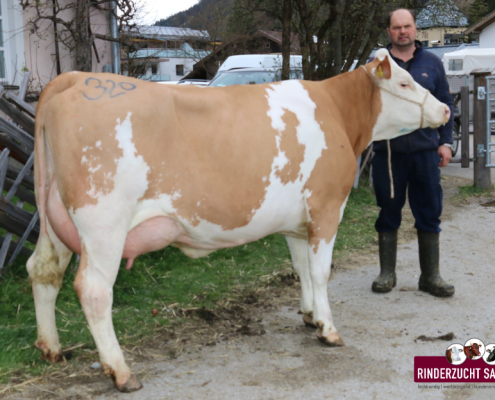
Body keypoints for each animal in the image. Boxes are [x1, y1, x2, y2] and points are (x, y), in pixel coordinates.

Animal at [27, 48, 452, 392]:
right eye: (404, 81)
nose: (445, 109)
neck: (337, 112)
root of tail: (74, 78)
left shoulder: (298, 221)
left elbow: (300, 267)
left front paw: (309, 315)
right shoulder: (327, 208)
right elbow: (319, 271)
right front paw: (328, 330)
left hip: (57, 222)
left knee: (44, 270)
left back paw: (52, 348)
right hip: (103, 224)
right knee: (94, 290)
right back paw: (120, 371)